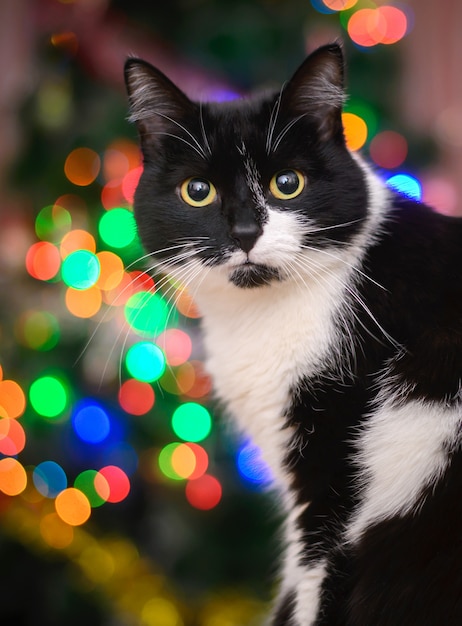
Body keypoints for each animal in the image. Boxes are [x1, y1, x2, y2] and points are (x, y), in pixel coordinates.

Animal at [122, 45, 462, 624]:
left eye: (288, 183)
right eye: (197, 191)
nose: (244, 233)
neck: (258, 316)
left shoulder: (332, 474)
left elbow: (310, 581)